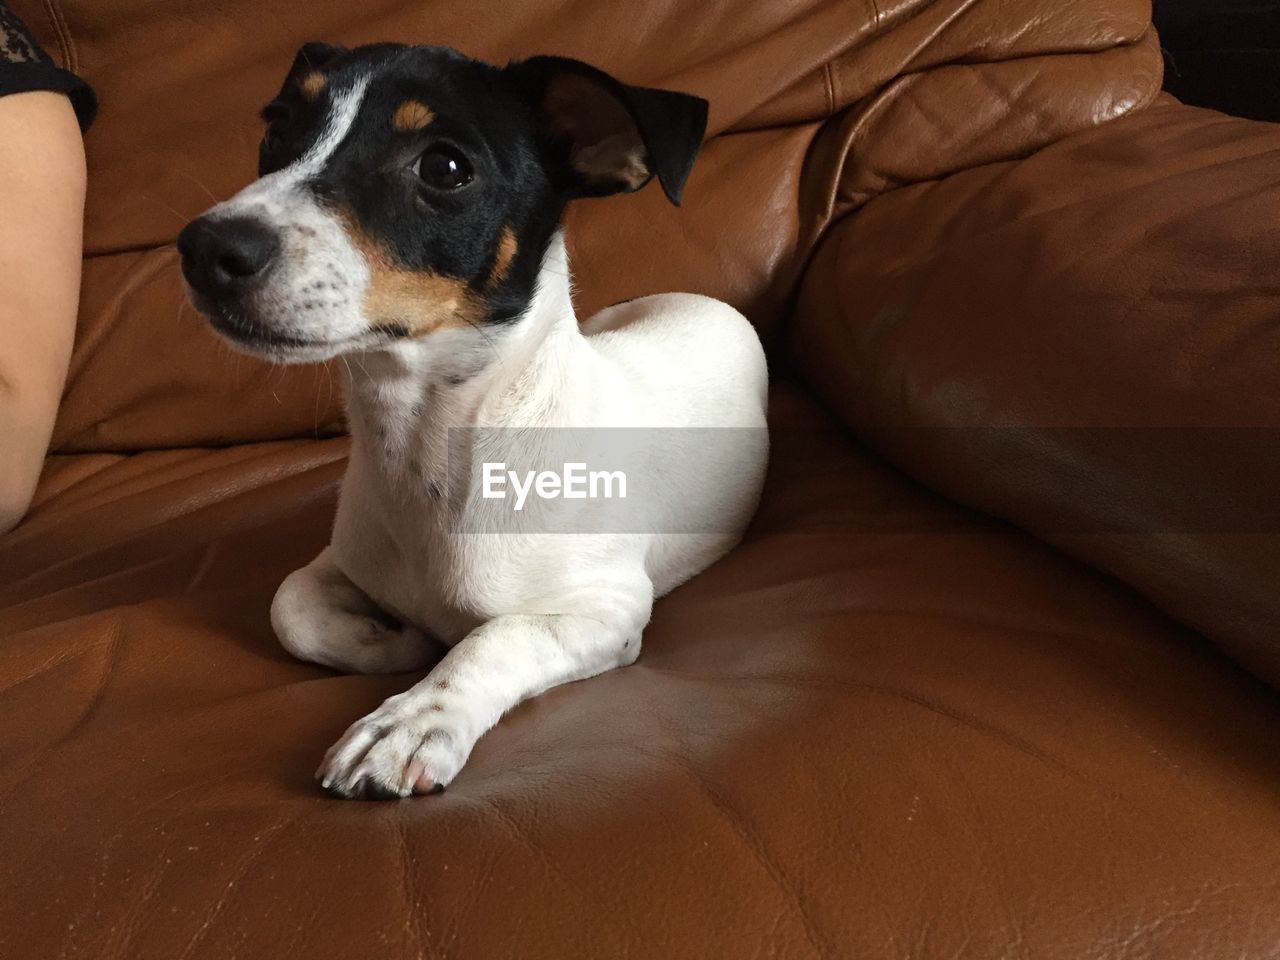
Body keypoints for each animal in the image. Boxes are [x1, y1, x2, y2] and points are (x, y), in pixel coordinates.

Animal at [175, 41, 762, 798]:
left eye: (444, 167)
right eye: (278, 128)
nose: (204, 250)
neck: (427, 446)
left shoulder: (607, 607)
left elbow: (497, 637)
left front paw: (410, 721)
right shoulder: (342, 561)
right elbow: (290, 606)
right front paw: (396, 641)